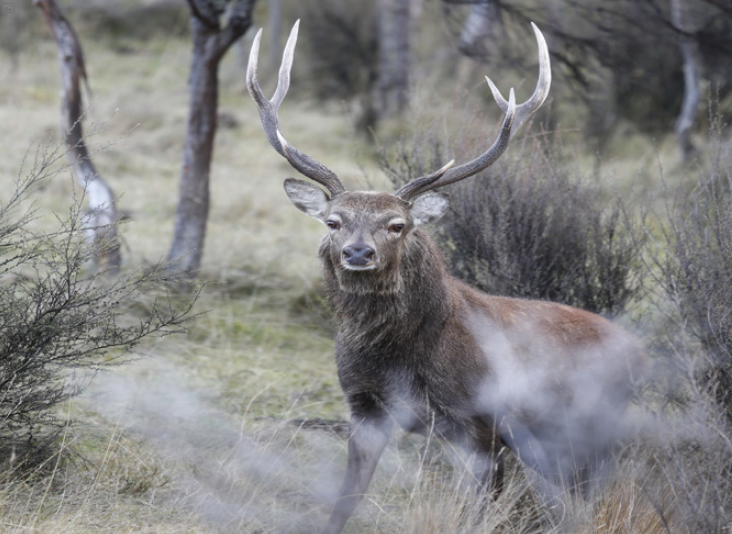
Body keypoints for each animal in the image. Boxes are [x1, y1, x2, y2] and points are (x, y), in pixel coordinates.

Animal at [247, 21, 646, 534]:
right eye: (333, 221)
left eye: (398, 224)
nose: (359, 252)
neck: (404, 357)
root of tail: (640, 353)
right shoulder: (365, 409)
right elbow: (346, 500)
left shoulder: (481, 427)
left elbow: (475, 516)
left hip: (581, 430)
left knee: (584, 503)